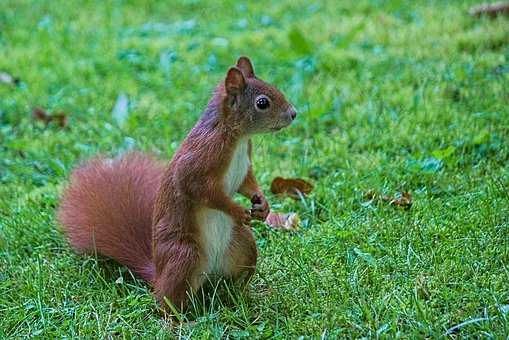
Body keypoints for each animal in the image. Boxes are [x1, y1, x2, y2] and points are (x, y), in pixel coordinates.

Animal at [58, 56, 298, 310]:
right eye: (262, 103)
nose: (293, 113)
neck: (237, 137)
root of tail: (158, 273)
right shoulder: (201, 158)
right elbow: (199, 188)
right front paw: (236, 209)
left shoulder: (244, 166)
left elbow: (247, 182)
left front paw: (263, 204)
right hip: (185, 255)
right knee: (166, 300)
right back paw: (180, 317)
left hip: (244, 245)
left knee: (234, 278)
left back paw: (243, 295)